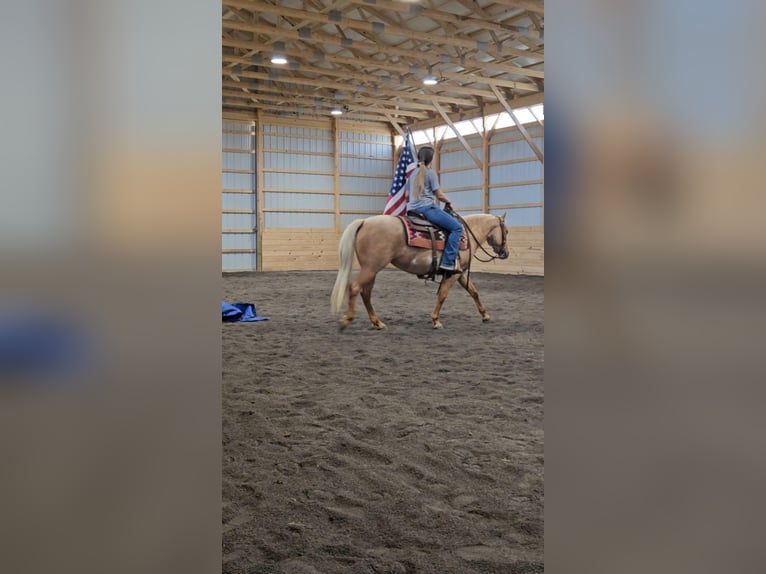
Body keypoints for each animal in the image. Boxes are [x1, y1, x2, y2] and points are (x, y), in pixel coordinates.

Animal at [330, 212, 510, 330]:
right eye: (506, 231)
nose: (505, 253)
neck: (466, 235)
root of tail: (364, 222)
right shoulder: (454, 275)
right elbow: (443, 294)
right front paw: (435, 320)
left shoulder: (460, 273)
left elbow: (474, 292)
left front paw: (485, 315)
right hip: (371, 268)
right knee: (355, 287)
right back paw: (348, 320)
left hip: (371, 270)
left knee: (366, 293)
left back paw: (377, 322)